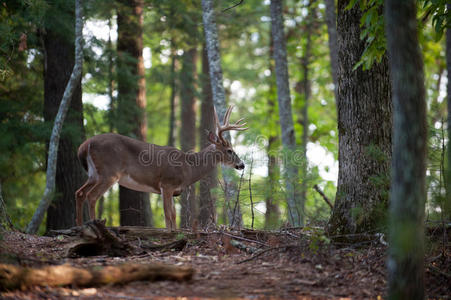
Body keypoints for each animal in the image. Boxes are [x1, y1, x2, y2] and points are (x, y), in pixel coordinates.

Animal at [76, 105, 249, 230]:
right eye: (229, 150)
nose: (242, 164)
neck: (188, 168)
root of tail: (84, 145)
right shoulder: (167, 183)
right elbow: (168, 214)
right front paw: (169, 232)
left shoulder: (171, 190)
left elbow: (172, 214)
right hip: (109, 172)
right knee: (92, 196)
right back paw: (95, 226)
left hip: (94, 174)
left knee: (80, 192)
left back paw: (78, 226)